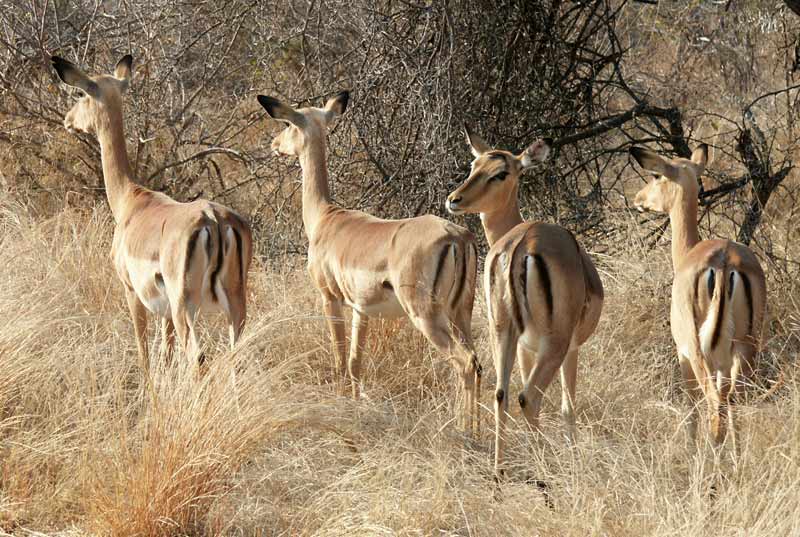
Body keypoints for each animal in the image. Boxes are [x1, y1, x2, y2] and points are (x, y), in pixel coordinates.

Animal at [51, 54, 252, 374]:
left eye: (81, 94)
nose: (68, 121)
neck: (131, 200)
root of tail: (215, 220)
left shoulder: (131, 291)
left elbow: (144, 350)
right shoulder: (166, 311)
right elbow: (166, 355)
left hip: (185, 305)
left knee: (197, 356)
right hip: (234, 302)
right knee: (235, 356)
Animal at [257, 91, 482, 431]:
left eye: (287, 123)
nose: (274, 145)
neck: (325, 218)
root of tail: (458, 237)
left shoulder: (330, 298)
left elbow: (339, 358)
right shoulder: (361, 309)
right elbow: (355, 362)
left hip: (426, 315)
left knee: (465, 362)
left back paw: (464, 430)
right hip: (460, 313)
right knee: (478, 362)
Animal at [446, 129, 604, 475]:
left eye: (500, 173)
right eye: (473, 165)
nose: (454, 199)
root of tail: (522, 244)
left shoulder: (523, 346)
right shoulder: (570, 348)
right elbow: (568, 408)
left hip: (501, 331)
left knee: (501, 394)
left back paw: (499, 474)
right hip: (554, 344)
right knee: (528, 398)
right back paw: (545, 477)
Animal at [630, 145, 766, 452]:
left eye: (656, 175)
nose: (638, 199)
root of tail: (724, 262)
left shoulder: (683, 356)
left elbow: (690, 408)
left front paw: (690, 451)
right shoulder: (724, 362)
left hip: (699, 353)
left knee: (715, 405)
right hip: (744, 349)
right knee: (733, 400)